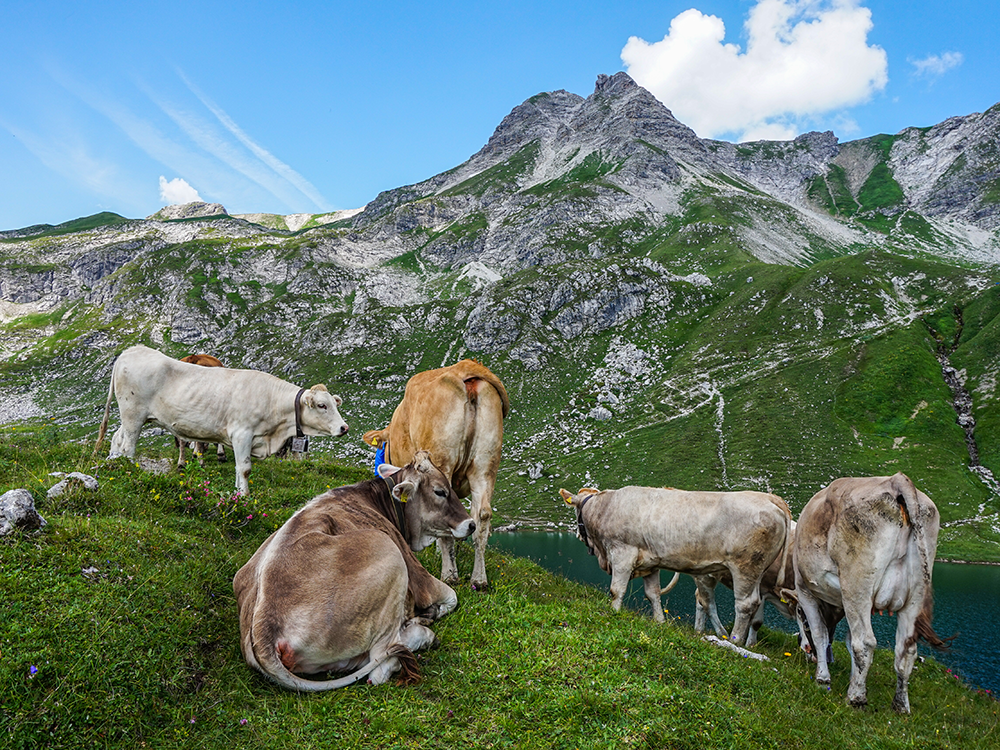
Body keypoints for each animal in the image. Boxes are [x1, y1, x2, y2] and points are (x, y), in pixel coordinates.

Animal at [96, 346, 348, 496]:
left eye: (335, 404)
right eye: (322, 406)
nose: (344, 427)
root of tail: (133, 350)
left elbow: (238, 468)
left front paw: (237, 494)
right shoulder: (242, 434)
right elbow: (245, 469)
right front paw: (245, 498)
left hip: (131, 416)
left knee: (117, 438)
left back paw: (114, 463)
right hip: (133, 414)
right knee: (129, 445)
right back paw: (129, 470)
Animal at [232, 452, 474, 692]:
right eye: (440, 491)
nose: (471, 524)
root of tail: (263, 628)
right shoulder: (419, 577)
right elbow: (452, 596)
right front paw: (431, 612)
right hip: (388, 552)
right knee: (380, 665)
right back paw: (424, 635)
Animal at [362, 362, 508, 592]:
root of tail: (466, 368)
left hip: (442, 459)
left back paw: (449, 576)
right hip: (486, 464)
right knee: (483, 516)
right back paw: (479, 580)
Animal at [564, 488, 788, 648]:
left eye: (575, 511)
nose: (576, 535)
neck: (605, 507)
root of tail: (771, 498)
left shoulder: (622, 553)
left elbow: (616, 590)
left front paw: (613, 614)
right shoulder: (651, 563)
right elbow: (653, 594)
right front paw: (659, 622)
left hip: (746, 566)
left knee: (745, 604)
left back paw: (734, 641)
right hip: (759, 572)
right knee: (754, 602)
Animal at [784, 472, 948, 712]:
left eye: (797, 613)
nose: (803, 647)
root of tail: (897, 479)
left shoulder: (806, 591)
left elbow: (821, 634)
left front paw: (823, 679)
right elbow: (845, 640)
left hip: (857, 586)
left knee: (865, 642)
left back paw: (855, 698)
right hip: (915, 596)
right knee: (906, 651)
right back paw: (900, 706)